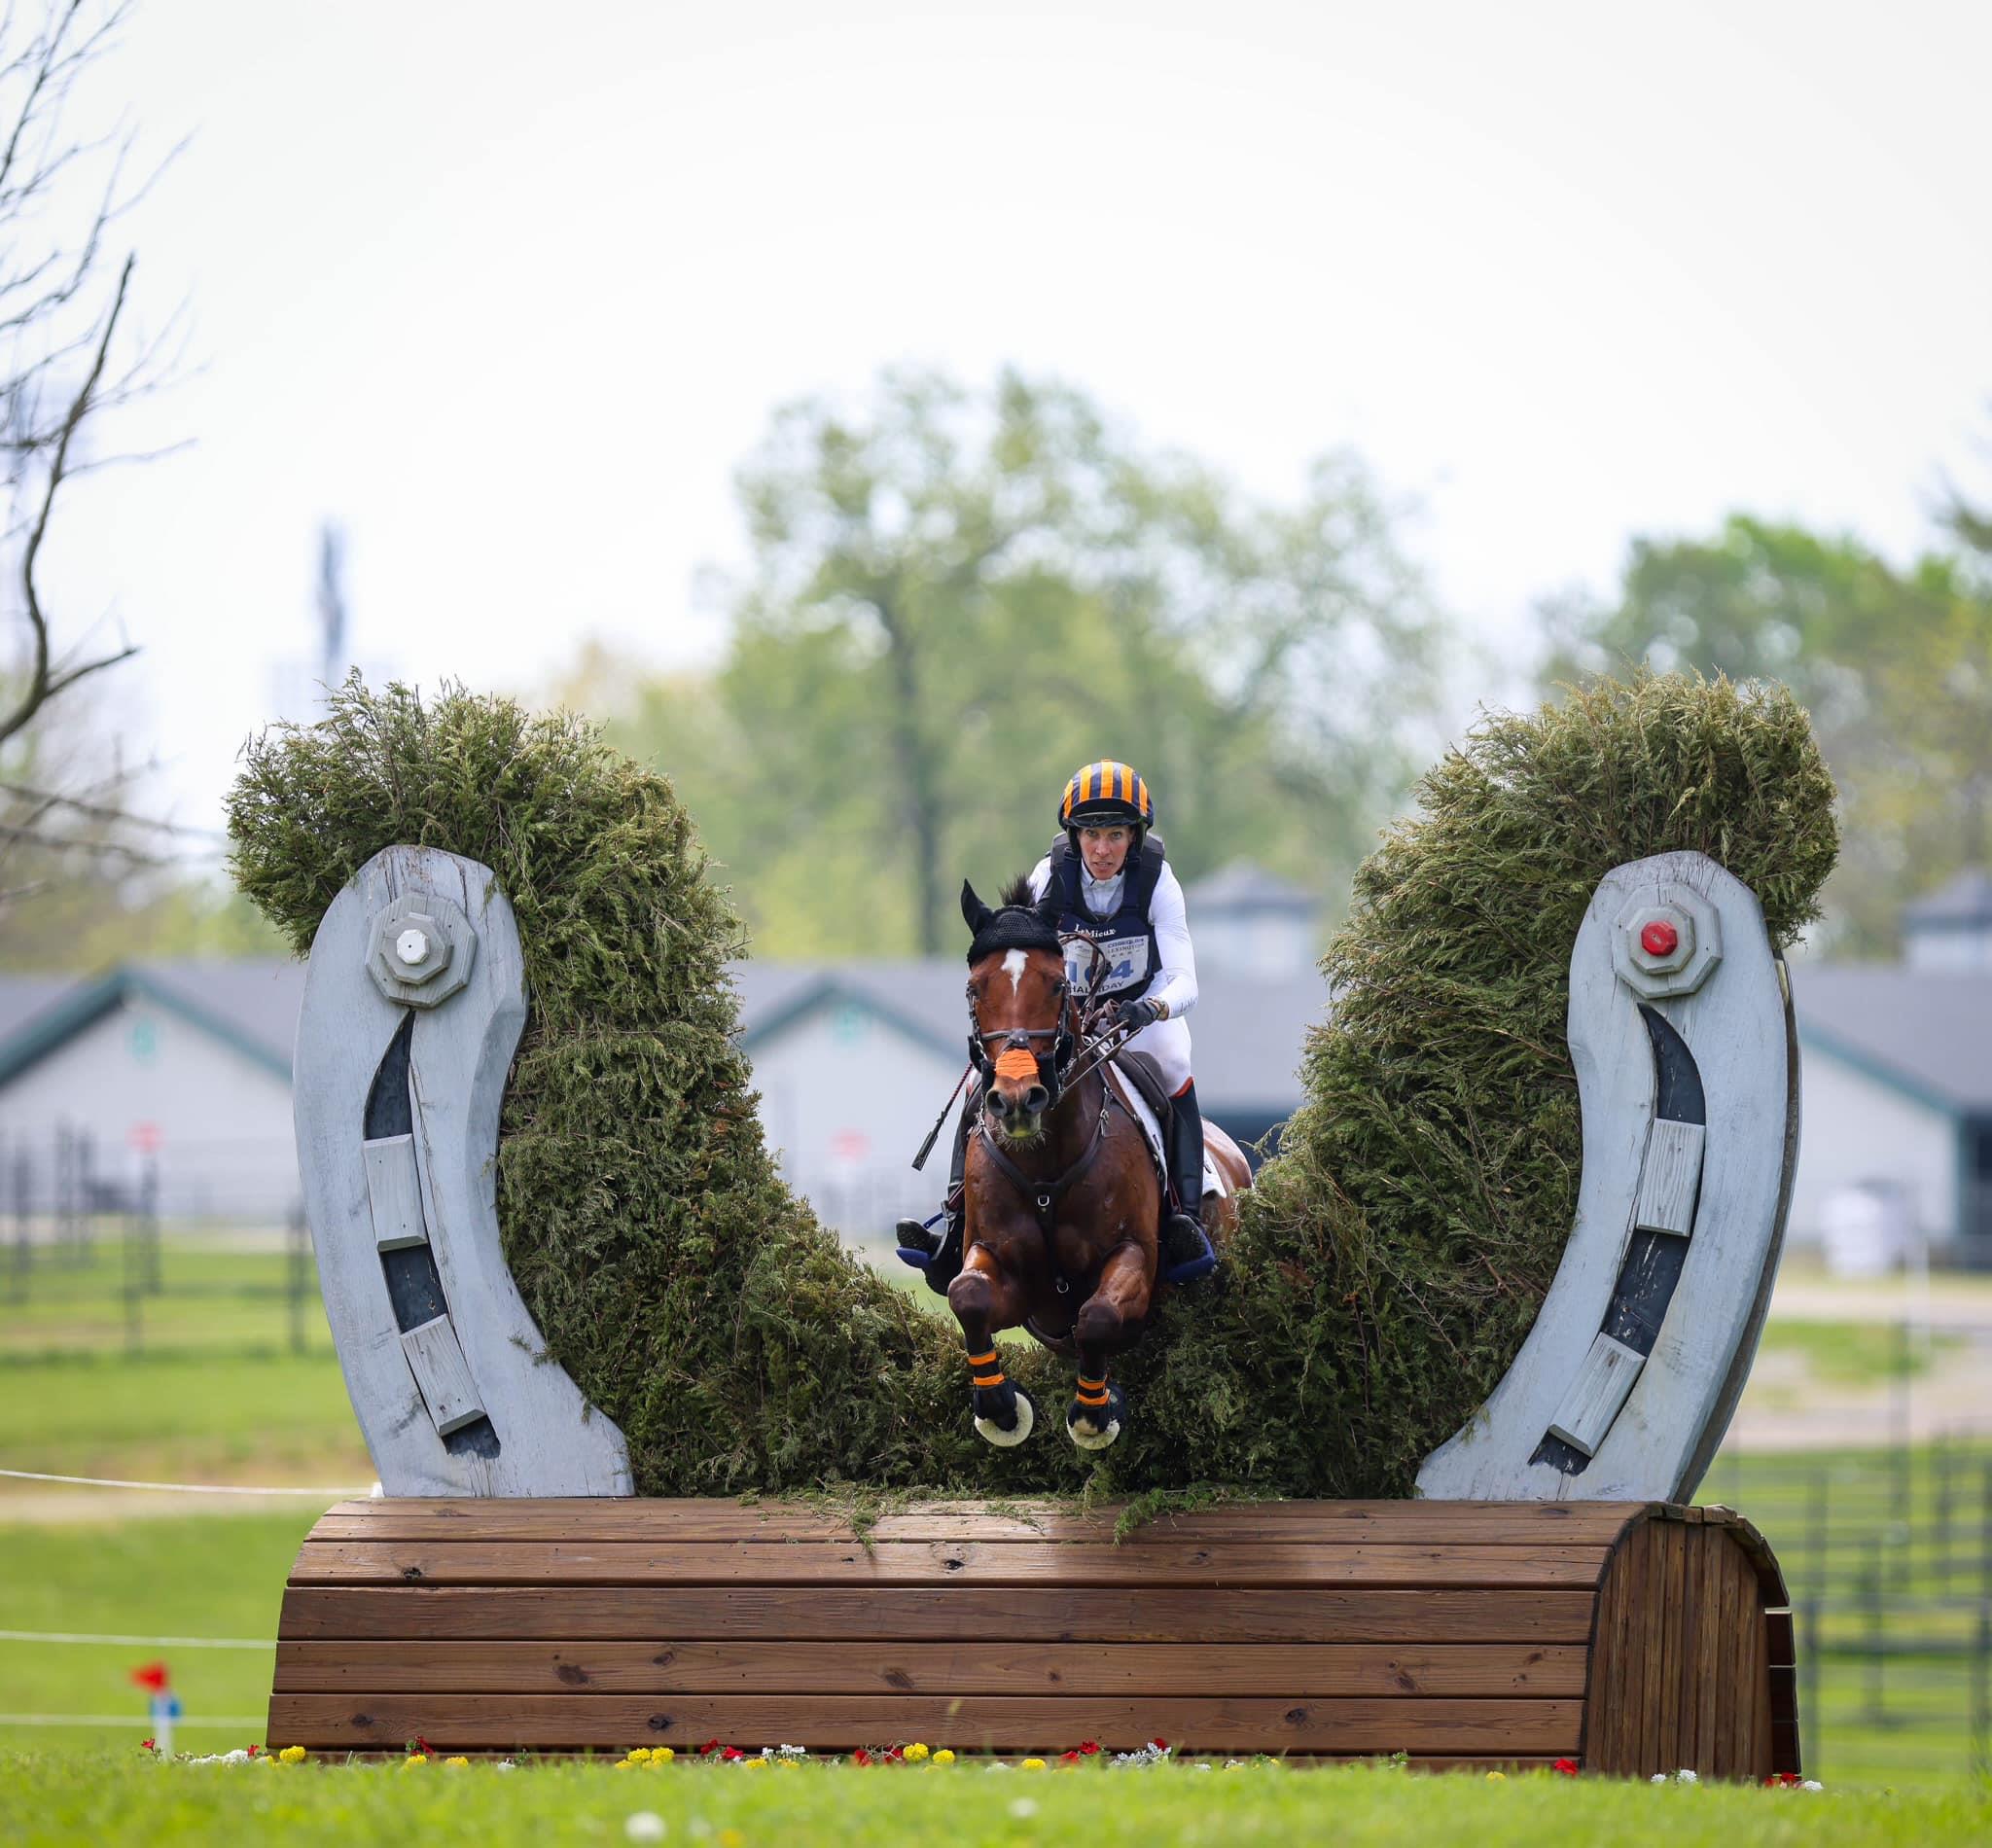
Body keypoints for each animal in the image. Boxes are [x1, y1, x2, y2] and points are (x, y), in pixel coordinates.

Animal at [943, 871, 1242, 1449]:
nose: (1018, 1100)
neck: (1044, 1166)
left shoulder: (1134, 1259)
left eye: (1057, 985)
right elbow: (966, 1294)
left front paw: (1094, 1415)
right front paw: (1000, 1408)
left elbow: (1097, 1317)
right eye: (974, 989)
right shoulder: (1008, 1274)